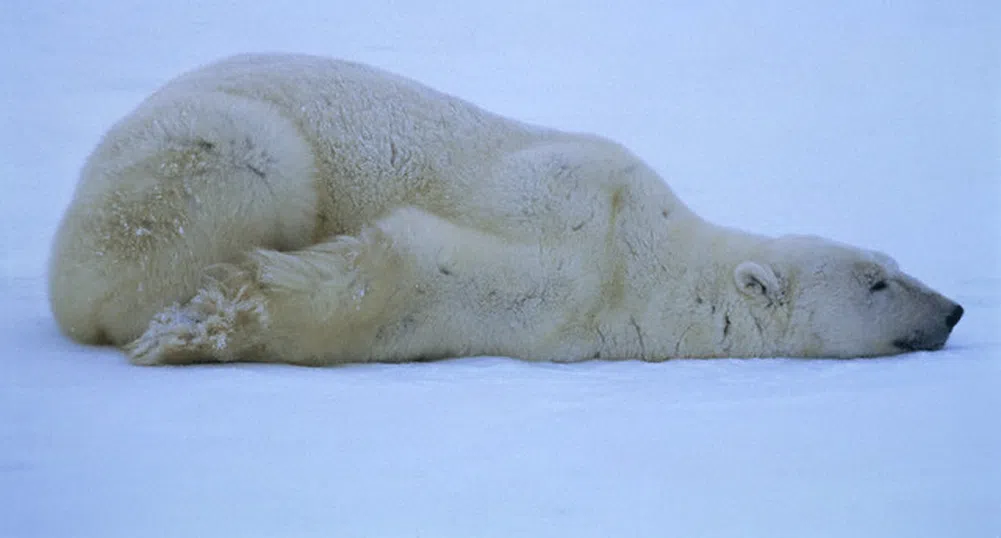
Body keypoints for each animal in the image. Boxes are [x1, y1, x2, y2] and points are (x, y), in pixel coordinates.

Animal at [47, 53, 960, 364]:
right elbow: (413, 263)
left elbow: (427, 302)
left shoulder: (570, 315)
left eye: (894, 263)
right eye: (877, 279)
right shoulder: (572, 203)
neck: (645, 255)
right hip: (214, 146)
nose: (952, 308)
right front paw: (200, 323)